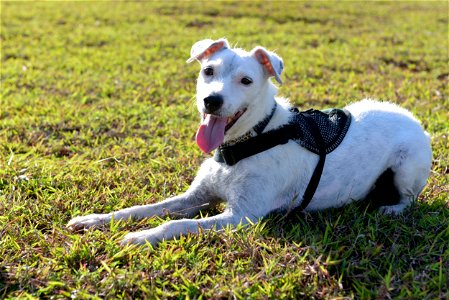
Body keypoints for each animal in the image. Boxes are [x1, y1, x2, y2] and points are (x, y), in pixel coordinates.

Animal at [65, 38, 430, 246]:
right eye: (208, 71)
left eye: (246, 80)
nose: (211, 101)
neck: (246, 141)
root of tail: (411, 116)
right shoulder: (195, 197)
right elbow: (145, 209)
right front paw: (96, 220)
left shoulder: (241, 216)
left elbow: (175, 223)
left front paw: (141, 236)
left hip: (407, 169)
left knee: (408, 199)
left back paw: (391, 209)